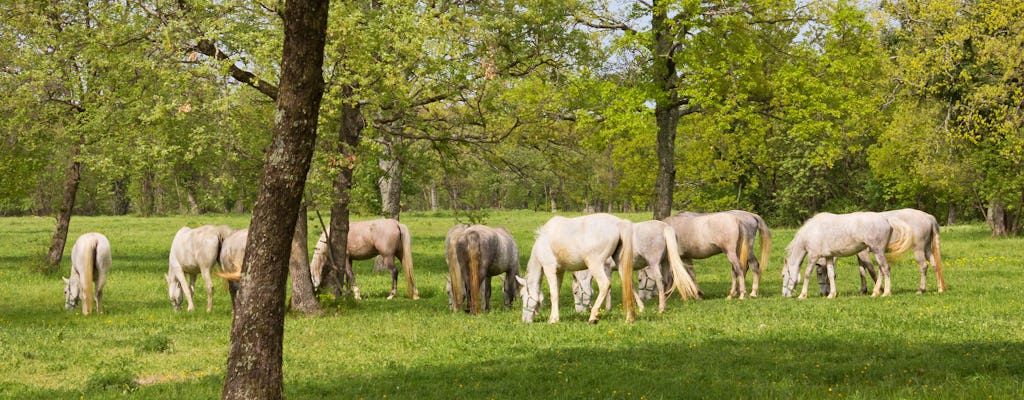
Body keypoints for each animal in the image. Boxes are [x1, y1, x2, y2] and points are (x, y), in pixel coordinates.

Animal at [569, 220, 704, 315]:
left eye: (575, 292)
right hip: (666, 262)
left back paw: (661, 308)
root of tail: (665, 228)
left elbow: (609, 289)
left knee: (659, 281)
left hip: (654, 264)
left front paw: (607, 308)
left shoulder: (606, 269)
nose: (578, 311)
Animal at [778, 211, 917, 298]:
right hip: (879, 252)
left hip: (877, 250)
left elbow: (807, 274)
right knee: (881, 270)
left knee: (885, 269)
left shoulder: (813, 256)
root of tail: (887, 220)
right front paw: (832, 295)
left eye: (783, 275)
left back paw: (885, 293)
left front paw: (802, 295)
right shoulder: (829, 257)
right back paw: (875, 292)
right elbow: (831, 275)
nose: (784, 295)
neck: (811, 232)